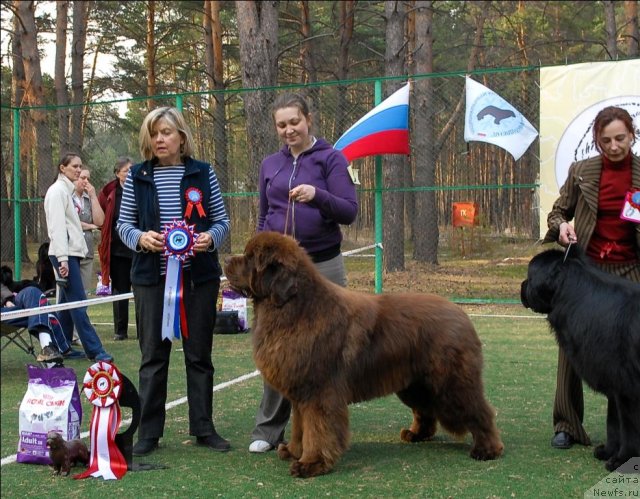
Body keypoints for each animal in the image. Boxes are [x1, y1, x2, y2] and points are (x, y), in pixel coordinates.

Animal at [226, 232, 504, 478]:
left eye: (251, 258)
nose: (226, 259)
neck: (295, 309)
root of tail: (462, 315)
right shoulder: (301, 392)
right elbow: (300, 426)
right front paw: (295, 451)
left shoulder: (319, 392)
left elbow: (317, 429)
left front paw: (311, 464)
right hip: (416, 385)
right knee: (426, 409)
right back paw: (416, 434)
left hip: (451, 383)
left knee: (480, 410)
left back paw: (487, 449)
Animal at [520, 249, 640, 472]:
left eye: (530, 276)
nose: (522, 285)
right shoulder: (613, 382)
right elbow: (613, 423)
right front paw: (608, 451)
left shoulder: (627, 388)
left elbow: (629, 428)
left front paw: (622, 460)